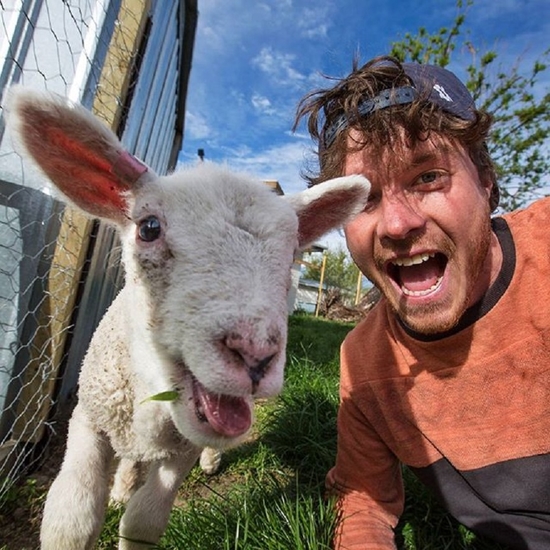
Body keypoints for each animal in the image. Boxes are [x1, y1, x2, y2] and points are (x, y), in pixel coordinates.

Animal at [5, 88, 370, 548]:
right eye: (148, 228)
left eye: (292, 253)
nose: (255, 354)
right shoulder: (87, 418)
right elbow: (72, 519)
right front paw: (109, 497)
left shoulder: (183, 447)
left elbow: (143, 523)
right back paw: (123, 483)